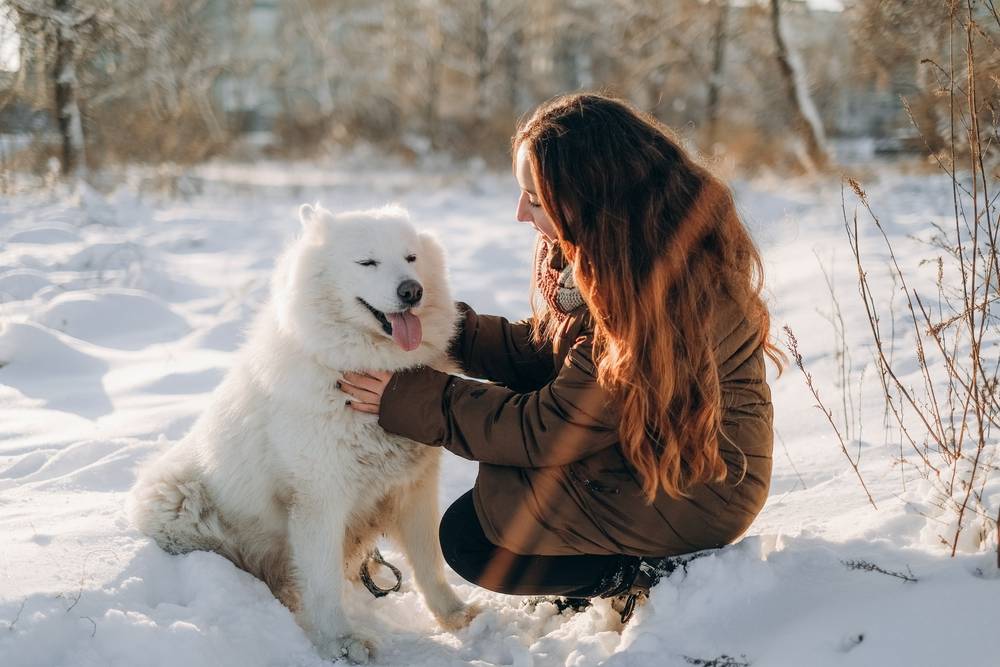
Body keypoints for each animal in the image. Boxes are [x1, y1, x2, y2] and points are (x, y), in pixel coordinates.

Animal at [129, 204, 472, 664]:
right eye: (367, 262)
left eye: (411, 258)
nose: (411, 291)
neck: (359, 371)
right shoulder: (320, 500)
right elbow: (323, 584)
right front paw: (342, 643)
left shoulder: (413, 489)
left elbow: (429, 564)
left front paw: (454, 616)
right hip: (181, 500)